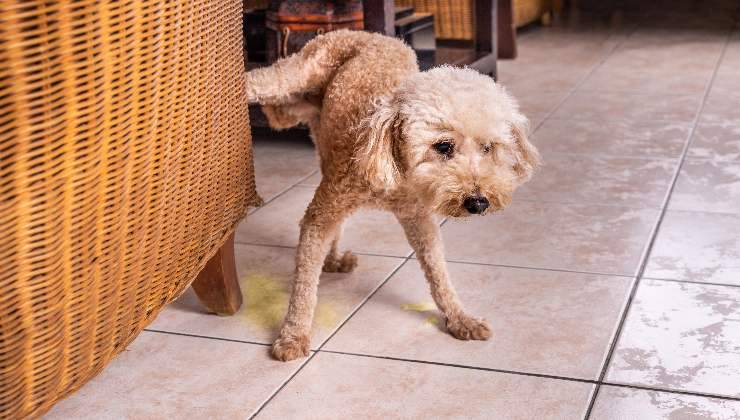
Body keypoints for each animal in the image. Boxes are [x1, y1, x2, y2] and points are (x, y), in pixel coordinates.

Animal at [246, 28, 540, 360]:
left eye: (488, 148)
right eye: (443, 146)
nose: (478, 202)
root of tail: (365, 32)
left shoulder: (418, 220)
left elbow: (438, 273)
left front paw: (459, 317)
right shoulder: (321, 215)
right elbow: (304, 285)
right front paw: (293, 335)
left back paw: (333, 260)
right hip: (299, 72)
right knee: (260, 79)